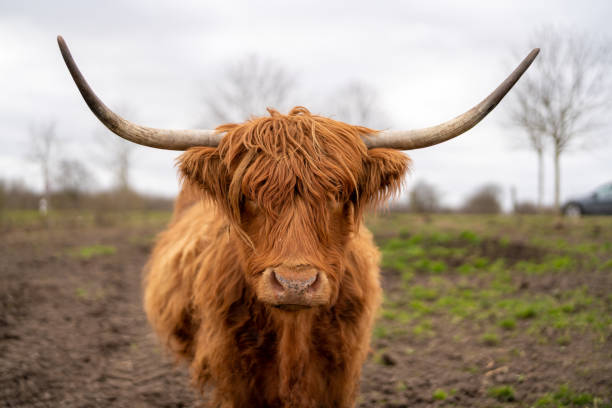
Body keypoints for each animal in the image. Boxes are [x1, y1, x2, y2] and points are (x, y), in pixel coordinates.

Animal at [56, 35, 536, 408]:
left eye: (339, 193)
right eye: (248, 195)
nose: (295, 284)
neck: (292, 335)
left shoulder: (339, 371)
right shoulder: (235, 373)